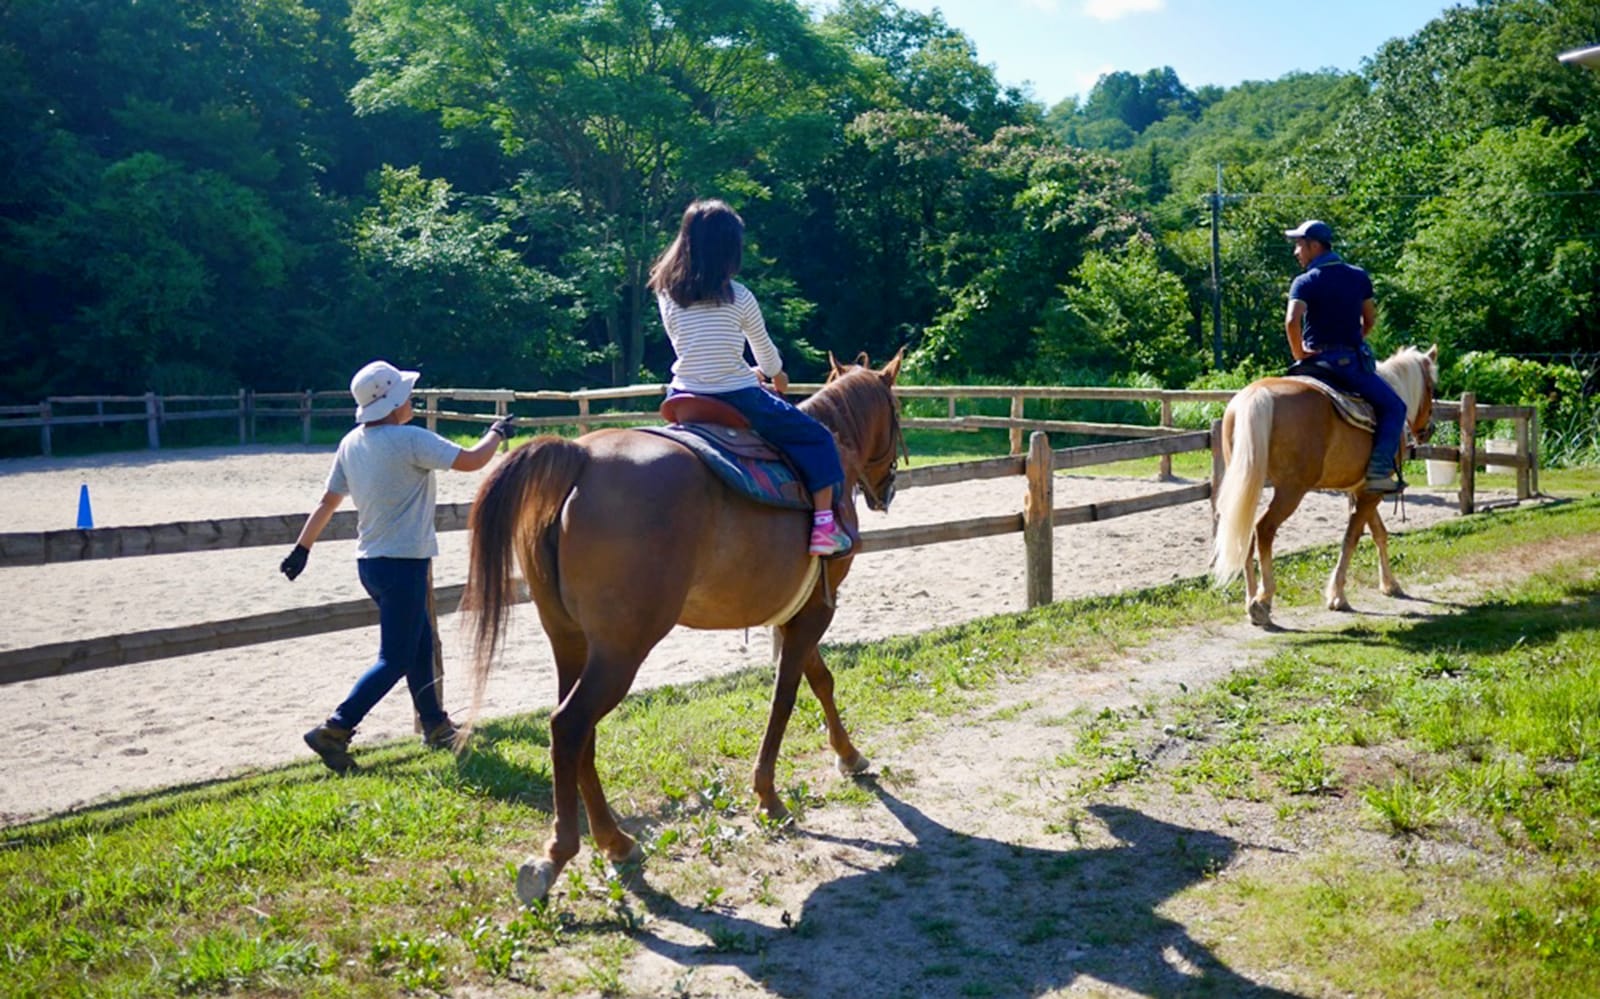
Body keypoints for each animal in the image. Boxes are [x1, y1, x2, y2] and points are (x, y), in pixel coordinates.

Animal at [461, 351, 905, 904]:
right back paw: (558, 855)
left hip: (570, 639)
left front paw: (849, 755)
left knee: (576, 730)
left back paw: (616, 841)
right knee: (569, 724)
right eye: (897, 411)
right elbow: (786, 693)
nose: (886, 489)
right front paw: (769, 797)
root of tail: (579, 458)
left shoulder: (795, 609)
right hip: (622, 649)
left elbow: (817, 679)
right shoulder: (818, 607)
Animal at [1211, 345, 1438, 627]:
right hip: (1290, 491)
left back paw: (1251, 600)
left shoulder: (1363, 489)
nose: (1429, 429)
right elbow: (1352, 538)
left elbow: (1378, 533)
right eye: (1432, 388)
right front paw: (1338, 596)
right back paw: (1263, 601)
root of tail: (1258, 394)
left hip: (1247, 483)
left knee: (1245, 533)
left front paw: (1390, 584)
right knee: (1264, 530)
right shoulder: (1370, 493)